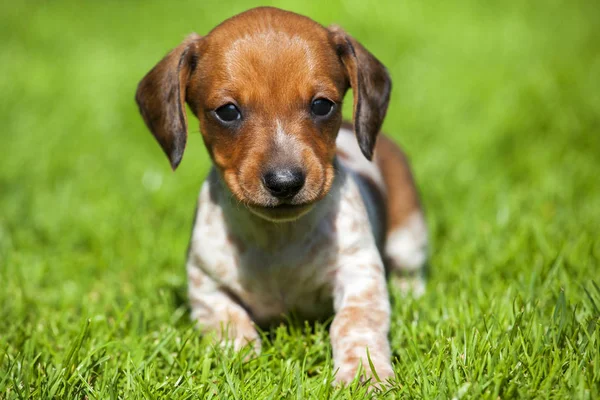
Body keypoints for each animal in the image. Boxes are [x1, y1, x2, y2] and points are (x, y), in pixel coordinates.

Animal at [136, 6, 426, 386]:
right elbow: (228, 323)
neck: (277, 238)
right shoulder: (206, 285)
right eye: (227, 111)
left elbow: (354, 324)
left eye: (322, 105)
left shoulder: (359, 273)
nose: (285, 182)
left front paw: (364, 374)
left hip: (409, 236)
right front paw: (238, 362)